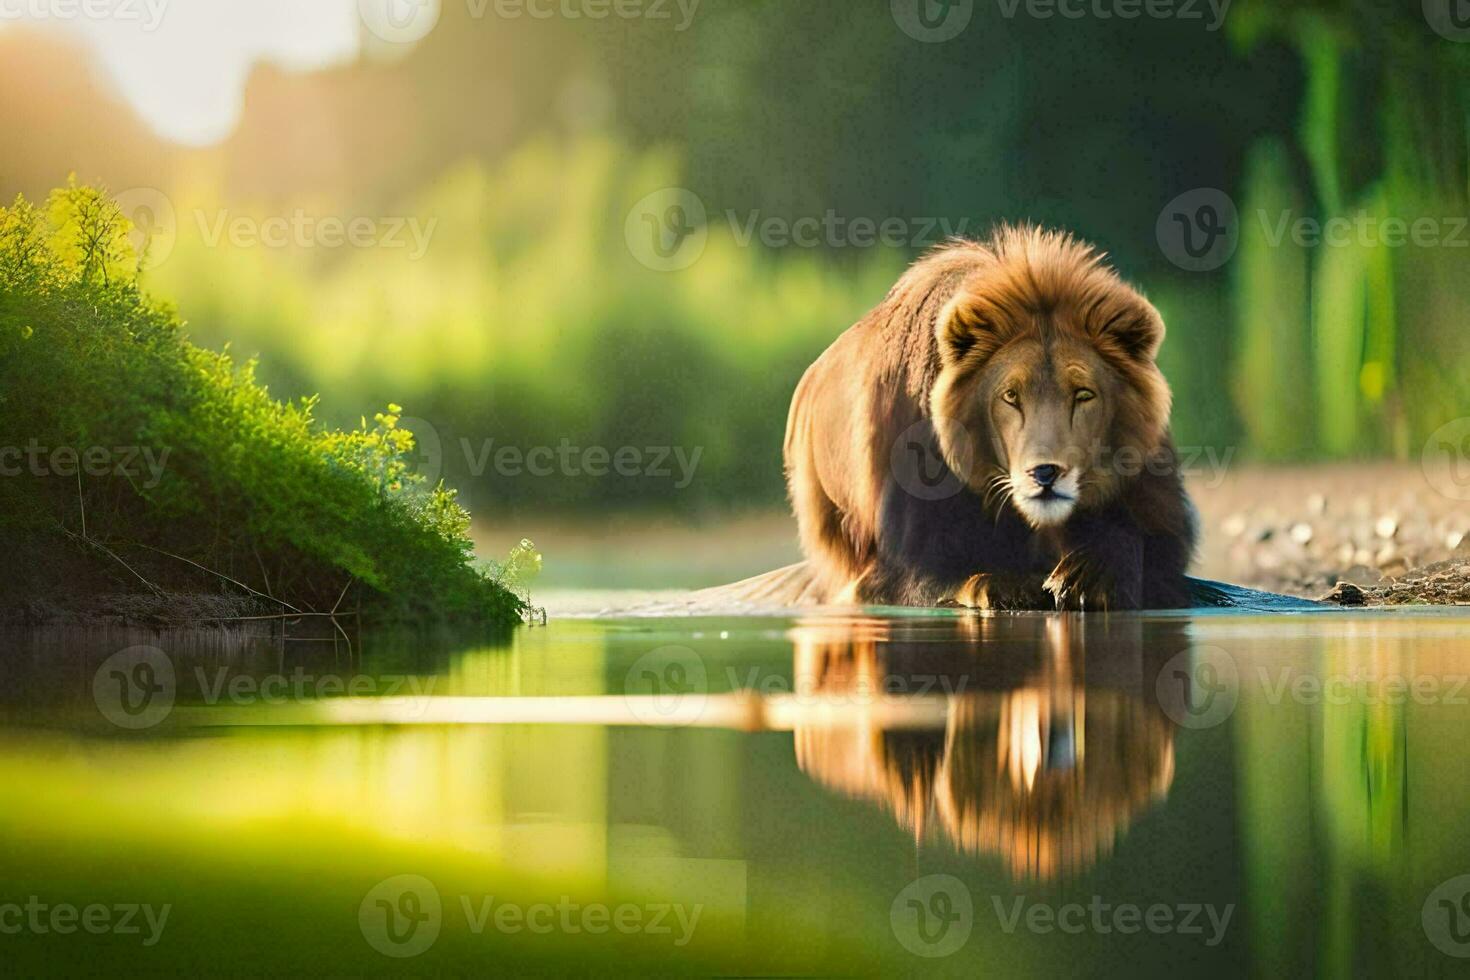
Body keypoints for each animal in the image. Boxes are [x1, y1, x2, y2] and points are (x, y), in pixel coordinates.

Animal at [782, 226, 1193, 608]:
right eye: (1010, 396)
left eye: (1083, 394)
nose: (1045, 472)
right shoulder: (892, 564)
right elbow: (953, 577)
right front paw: (1008, 585)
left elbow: (1137, 547)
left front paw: (1090, 575)